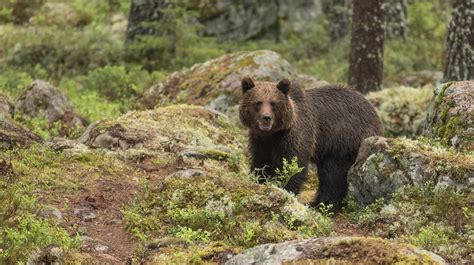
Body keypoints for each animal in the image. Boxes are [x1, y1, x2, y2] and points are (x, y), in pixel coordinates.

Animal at [239, 76, 384, 208]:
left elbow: (294, 164)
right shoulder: (260, 141)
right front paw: (260, 181)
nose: (266, 118)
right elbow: (261, 163)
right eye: (258, 102)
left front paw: (286, 190)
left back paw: (322, 203)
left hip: (344, 140)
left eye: (273, 103)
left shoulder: (295, 135)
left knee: (333, 173)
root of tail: (375, 115)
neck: (272, 134)